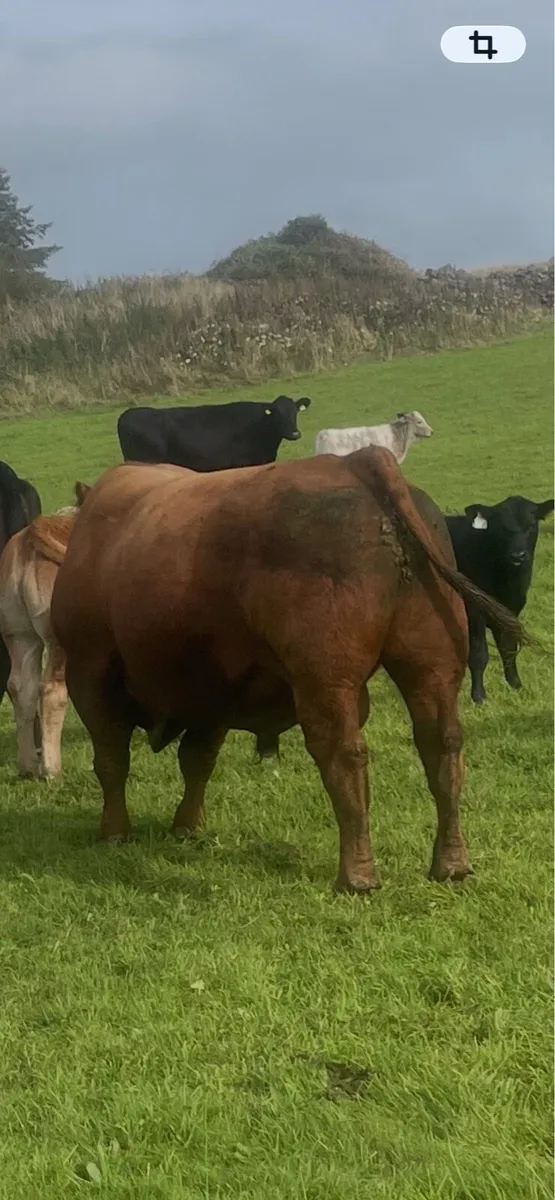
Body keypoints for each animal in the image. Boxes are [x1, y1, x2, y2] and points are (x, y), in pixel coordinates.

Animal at [50, 449, 528, 895]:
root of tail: (357, 461)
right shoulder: (216, 685)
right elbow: (197, 760)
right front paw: (187, 827)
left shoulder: (90, 672)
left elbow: (112, 760)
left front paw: (114, 833)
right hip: (432, 667)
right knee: (442, 745)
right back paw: (451, 864)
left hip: (327, 680)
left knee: (344, 755)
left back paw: (356, 876)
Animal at [445, 494, 553, 704]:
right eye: (502, 527)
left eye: (531, 525)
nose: (518, 556)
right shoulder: (474, 609)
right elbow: (479, 653)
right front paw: (479, 696)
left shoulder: (509, 611)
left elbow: (509, 648)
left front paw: (516, 686)